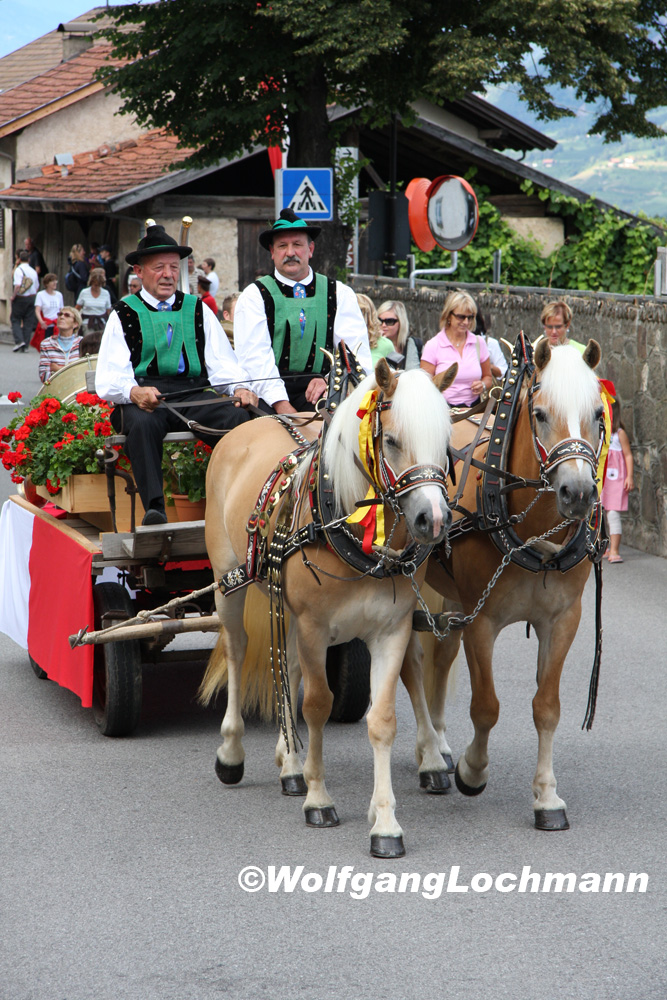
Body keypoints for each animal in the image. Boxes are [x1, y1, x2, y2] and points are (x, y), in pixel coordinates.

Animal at [201, 360, 456, 860]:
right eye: (391, 440)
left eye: (445, 442)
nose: (433, 521)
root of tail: (251, 424)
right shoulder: (314, 627)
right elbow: (318, 705)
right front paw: (319, 799)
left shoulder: (390, 631)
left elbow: (382, 720)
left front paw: (385, 823)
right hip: (229, 583)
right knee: (238, 651)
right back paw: (232, 752)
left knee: (286, 669)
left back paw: (289, 764)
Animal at [402, 334, 612, 828]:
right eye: (540, 414)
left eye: (598, 414)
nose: (579, 493)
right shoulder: (482, 621)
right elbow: (486, 706)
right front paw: (472, 771)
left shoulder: (563, 620)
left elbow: (547, 707)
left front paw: (547, 796)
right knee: (412, 666)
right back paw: (431, 758)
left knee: (440, 655)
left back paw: (438, 742)